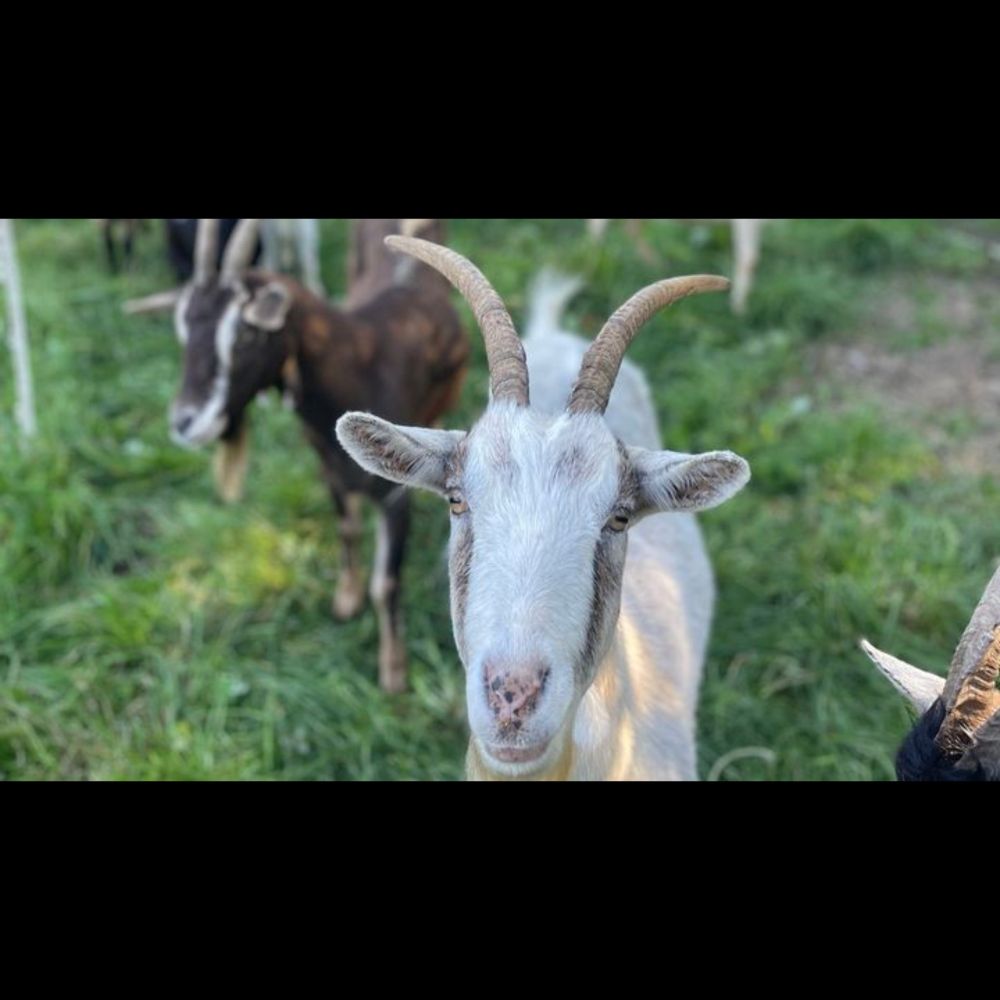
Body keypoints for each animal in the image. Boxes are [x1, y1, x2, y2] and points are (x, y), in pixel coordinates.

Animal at [167, 218, 468, 688]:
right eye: (184, 329)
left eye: (246, 334)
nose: (185, 422)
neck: (361, 366)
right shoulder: (330, 471)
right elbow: (347, 529)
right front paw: (346, 597)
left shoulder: (393, 496)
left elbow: (386, 584)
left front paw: (393, 670)